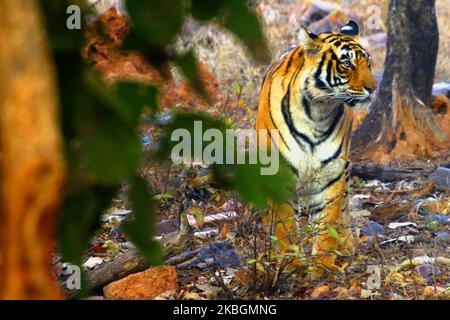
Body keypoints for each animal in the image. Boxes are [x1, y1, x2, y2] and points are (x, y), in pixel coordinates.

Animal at [256, 20, 376, 276]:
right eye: (347, 63)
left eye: (368, 62)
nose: (373, 88)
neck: (317, 111)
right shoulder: (278, 172)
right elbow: (285, 225)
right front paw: (290, 264)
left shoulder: (332, 173)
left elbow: (326, 223)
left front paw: (321, 265)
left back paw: (346, 245)